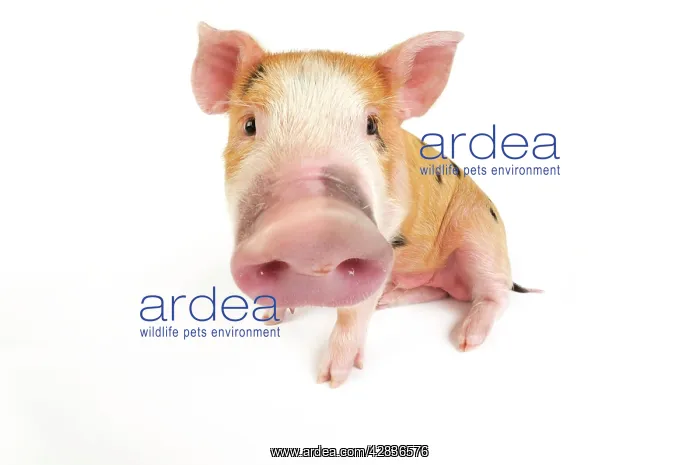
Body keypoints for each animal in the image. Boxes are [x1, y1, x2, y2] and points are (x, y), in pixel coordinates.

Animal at [191, 23, 541, 387]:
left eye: (371, 125)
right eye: (249, 125)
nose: (308, 221)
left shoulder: (385, 238)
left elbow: (353, 311)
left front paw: (332, 379)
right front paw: (268, 320)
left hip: (482, 234)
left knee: (495, 293)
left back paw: (465, 339)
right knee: (439, 292)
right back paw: (390, 300)